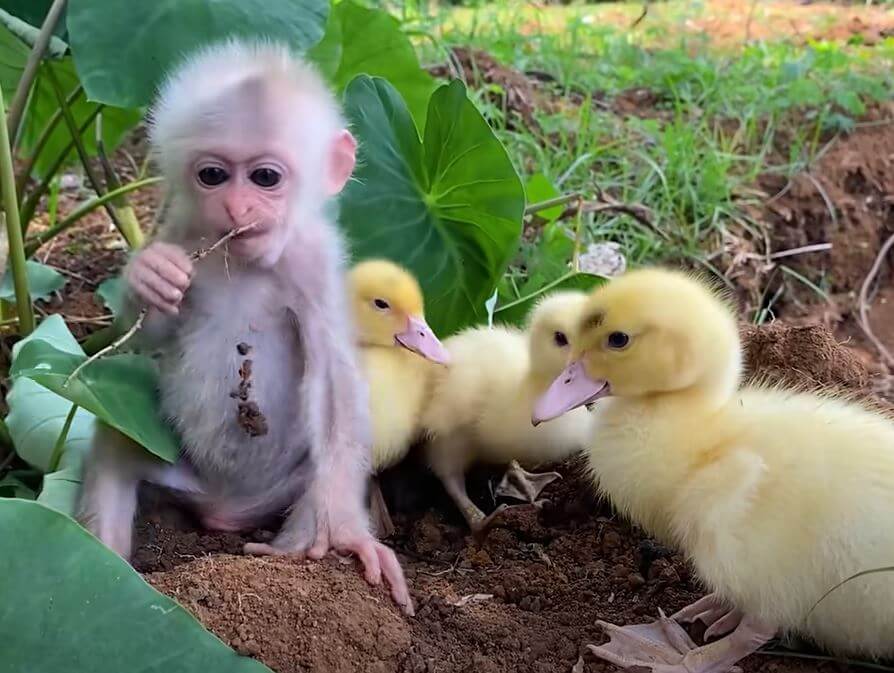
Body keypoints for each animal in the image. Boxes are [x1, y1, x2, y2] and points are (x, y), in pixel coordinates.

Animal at [77, 39, 412, 612]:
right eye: (212, 175)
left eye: (265, 178)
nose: (236, 207)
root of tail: (223, 510)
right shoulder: (182, 229)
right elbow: (149, 336)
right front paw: (150, 276)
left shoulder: (313, 261)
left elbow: (334, 384)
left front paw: (348, 535)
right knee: (115, 442)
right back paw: (107, 569)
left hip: (278, 493)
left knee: (324, 476)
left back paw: (292, 550)